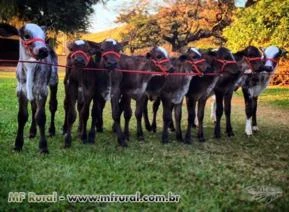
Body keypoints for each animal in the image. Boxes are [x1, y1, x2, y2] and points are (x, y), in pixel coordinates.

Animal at [0, 23, 58, 152]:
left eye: (44, 36)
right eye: (26, 36)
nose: (43, 50)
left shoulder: (42, 90)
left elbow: (41, 117)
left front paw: (43, 147)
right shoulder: (21, 90)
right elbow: (22, 116)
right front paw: (18, 144)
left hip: (53, 80)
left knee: (52, 105)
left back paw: (52, 130)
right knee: (33, 108)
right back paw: (32, 131)